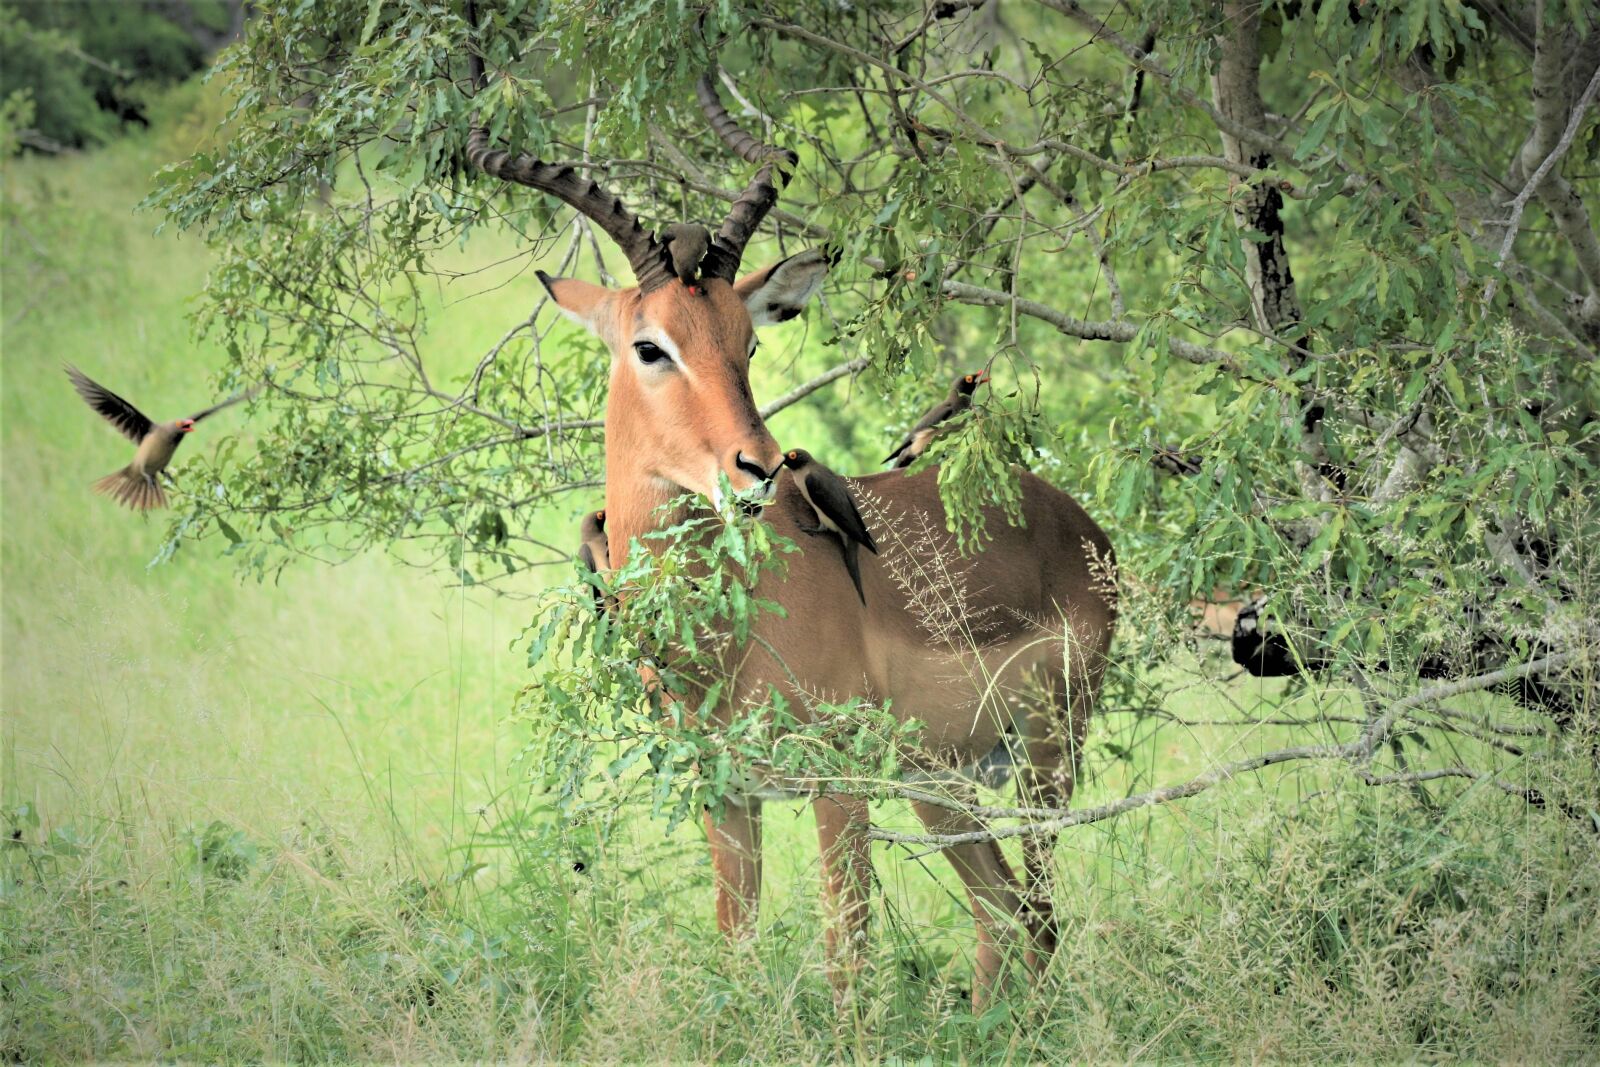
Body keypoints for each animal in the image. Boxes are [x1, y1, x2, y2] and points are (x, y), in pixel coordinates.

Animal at [465, 34, 1117, 1005]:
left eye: (749, 340)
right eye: (650, 345)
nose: (762, 466)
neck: (720, 632)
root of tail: (1078, 526)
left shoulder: (837, 783)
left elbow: (848, 959)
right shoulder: (727, 792)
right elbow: (736, 950)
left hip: (1041, 760)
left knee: (1035, 915)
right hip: (942, 783)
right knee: (1003, 919)